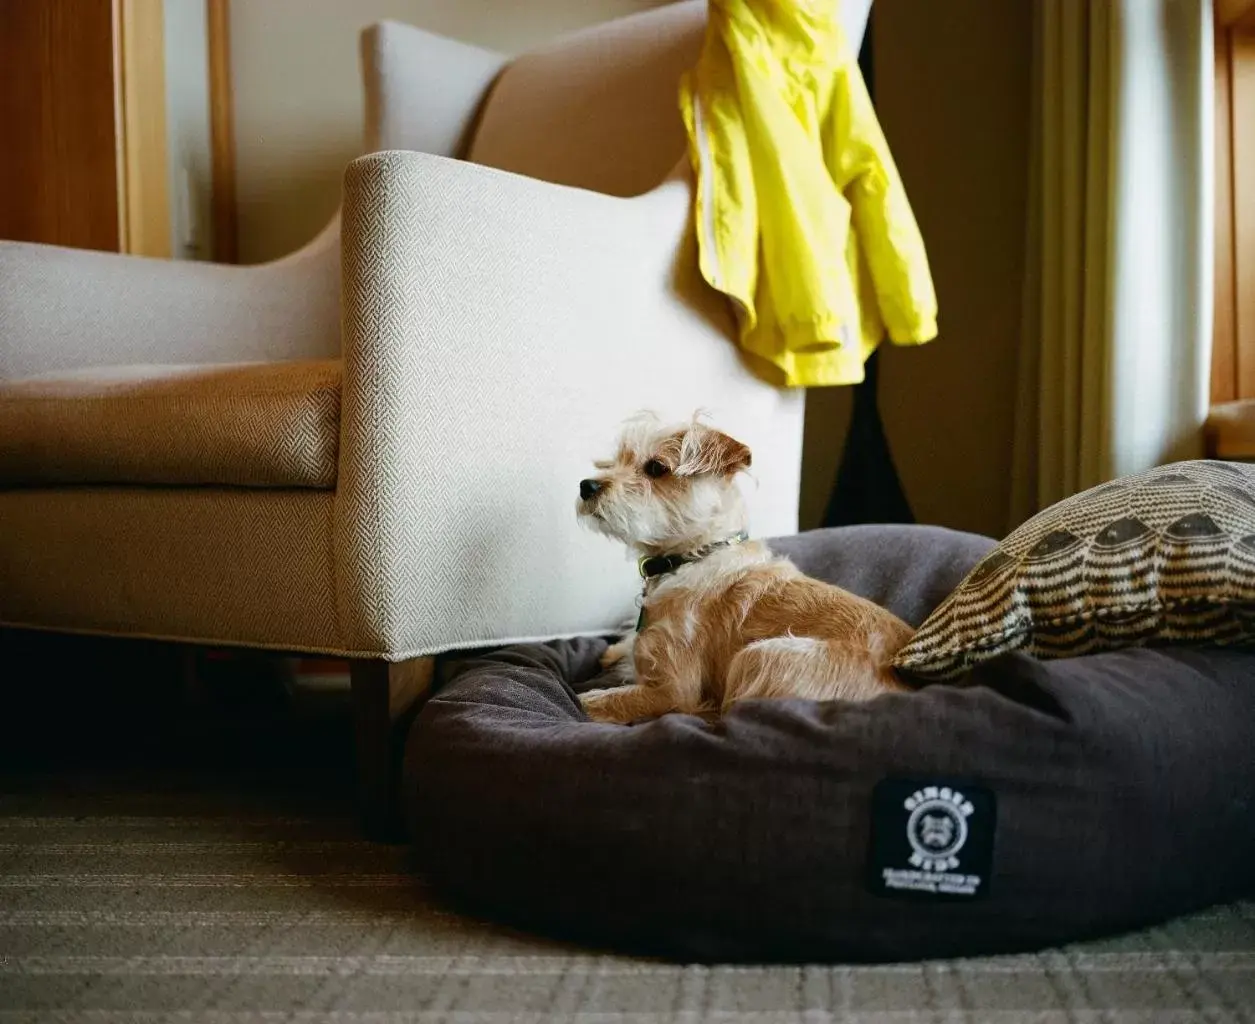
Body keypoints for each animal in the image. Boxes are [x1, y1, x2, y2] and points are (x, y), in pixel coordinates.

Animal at [574, 411, 913, 722]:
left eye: (656, 468)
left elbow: (597, 701)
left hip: (760, 656)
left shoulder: (674, 690)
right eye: (615, 460)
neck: (696, 554)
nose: (586, 485)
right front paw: (617, 650)